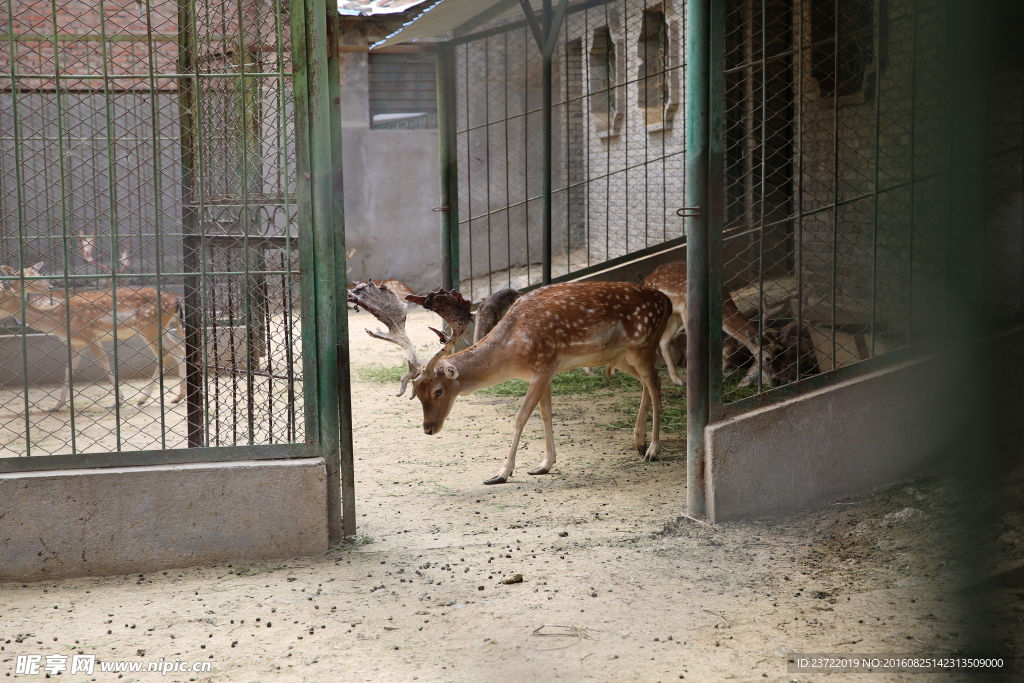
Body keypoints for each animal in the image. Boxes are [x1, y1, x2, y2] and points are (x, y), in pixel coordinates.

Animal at [0, 262, 186, 411]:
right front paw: (55, 406)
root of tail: (175, 301)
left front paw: (118, 401)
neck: (59, 319)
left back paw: (142, 399)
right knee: (179, 350)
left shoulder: (90, 335)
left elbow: (105, 365)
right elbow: (68, 371)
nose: (49, 287)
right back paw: (178, 397)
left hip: (149, 327)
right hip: (162, 329)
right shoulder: (76, 344)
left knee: (164, 354)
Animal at [348, 278, 675, 485]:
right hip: (621, 356)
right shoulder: (546, 371)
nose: (428, 429)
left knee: (656, 384)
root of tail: (667, 301)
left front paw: (501, 473)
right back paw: (638, 441)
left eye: (438, 391)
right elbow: (545, 414)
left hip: (643, 344)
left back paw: (653, 450)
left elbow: (520, 417)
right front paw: (544, 465)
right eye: (416, 394)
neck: (514, 351)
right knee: (647, 383)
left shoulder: (542, 368)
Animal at [643, 260, 778, 389]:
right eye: (768, 358)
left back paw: (677, 380)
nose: (772, 381)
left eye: (778, 354)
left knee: (664, 341)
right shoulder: (687, 312)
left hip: (675, 316)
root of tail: (646, 280)